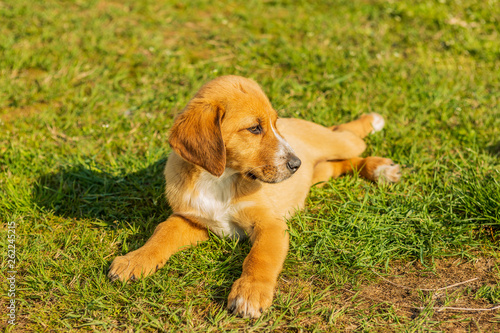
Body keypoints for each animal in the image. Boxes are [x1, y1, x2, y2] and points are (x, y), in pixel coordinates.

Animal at [107, 74, 400, 316]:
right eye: (254, 128)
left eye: (273, 124)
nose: (296, 164)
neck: (220, 179)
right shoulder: (193, 220)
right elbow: (162, 233)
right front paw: (134, 260)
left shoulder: (270, 224)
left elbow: (259, 258)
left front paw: (250, 294)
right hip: (319, 172)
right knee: (338, 163)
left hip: (337, 142)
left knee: (346, 134)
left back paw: (376, 145)